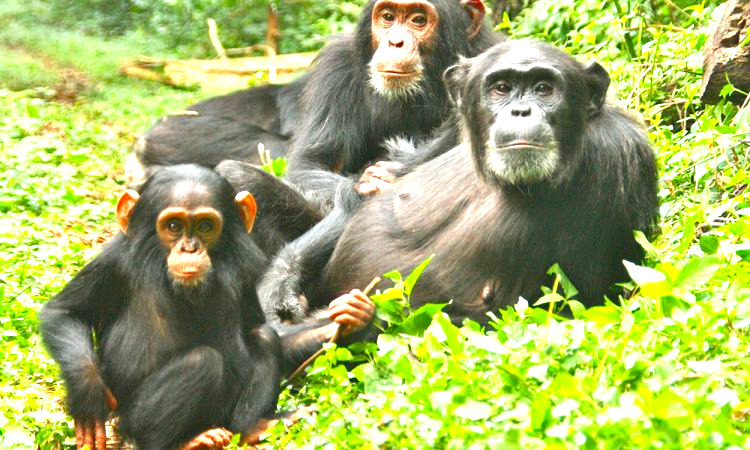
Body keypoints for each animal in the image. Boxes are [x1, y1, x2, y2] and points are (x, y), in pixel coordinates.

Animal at [36, 166, 374, 450]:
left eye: (205, 226)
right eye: (173, 226)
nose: (190, 248)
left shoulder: (247, 273)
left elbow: (267, 329)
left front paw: (356, 317)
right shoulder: (114, 261)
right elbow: (65, 312)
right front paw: (87, 393)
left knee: (263, 338)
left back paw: (254, 427)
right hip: (133, 420)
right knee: (202, 361)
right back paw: (186, 441)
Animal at [258, 39, 656, 326]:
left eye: (544, 89)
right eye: (501, 88)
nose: (520, 111)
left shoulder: (613, 158)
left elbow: (582, 302)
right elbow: (360, 197)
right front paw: (279, 290)